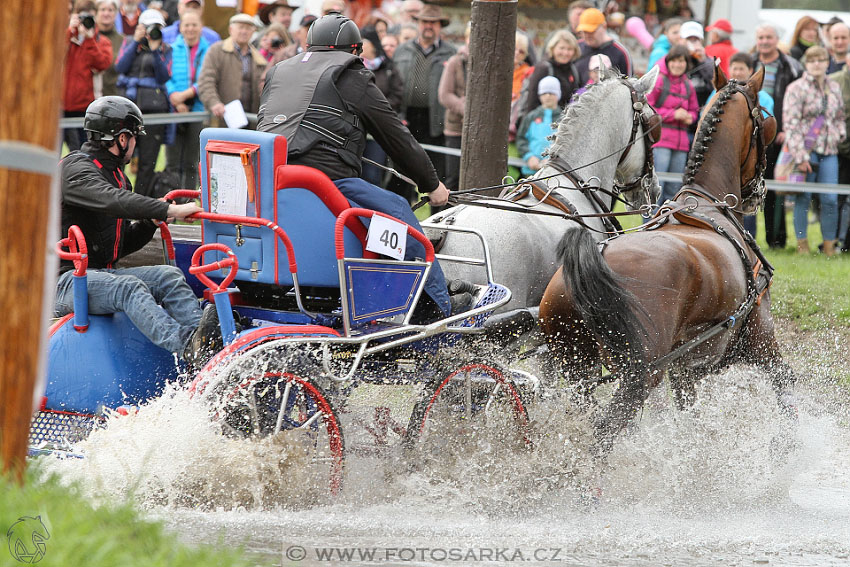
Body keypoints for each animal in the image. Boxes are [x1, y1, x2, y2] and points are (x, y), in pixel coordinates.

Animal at [540, 66, 792, 458]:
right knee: (603, 432)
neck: (707, 203)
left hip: (571, 367)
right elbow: (786, 389)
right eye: (767, 123)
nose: (759, 193)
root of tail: (592, 259)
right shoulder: (761, 343)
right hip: (638, 376)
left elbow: (691, 415)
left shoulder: (684, 370)